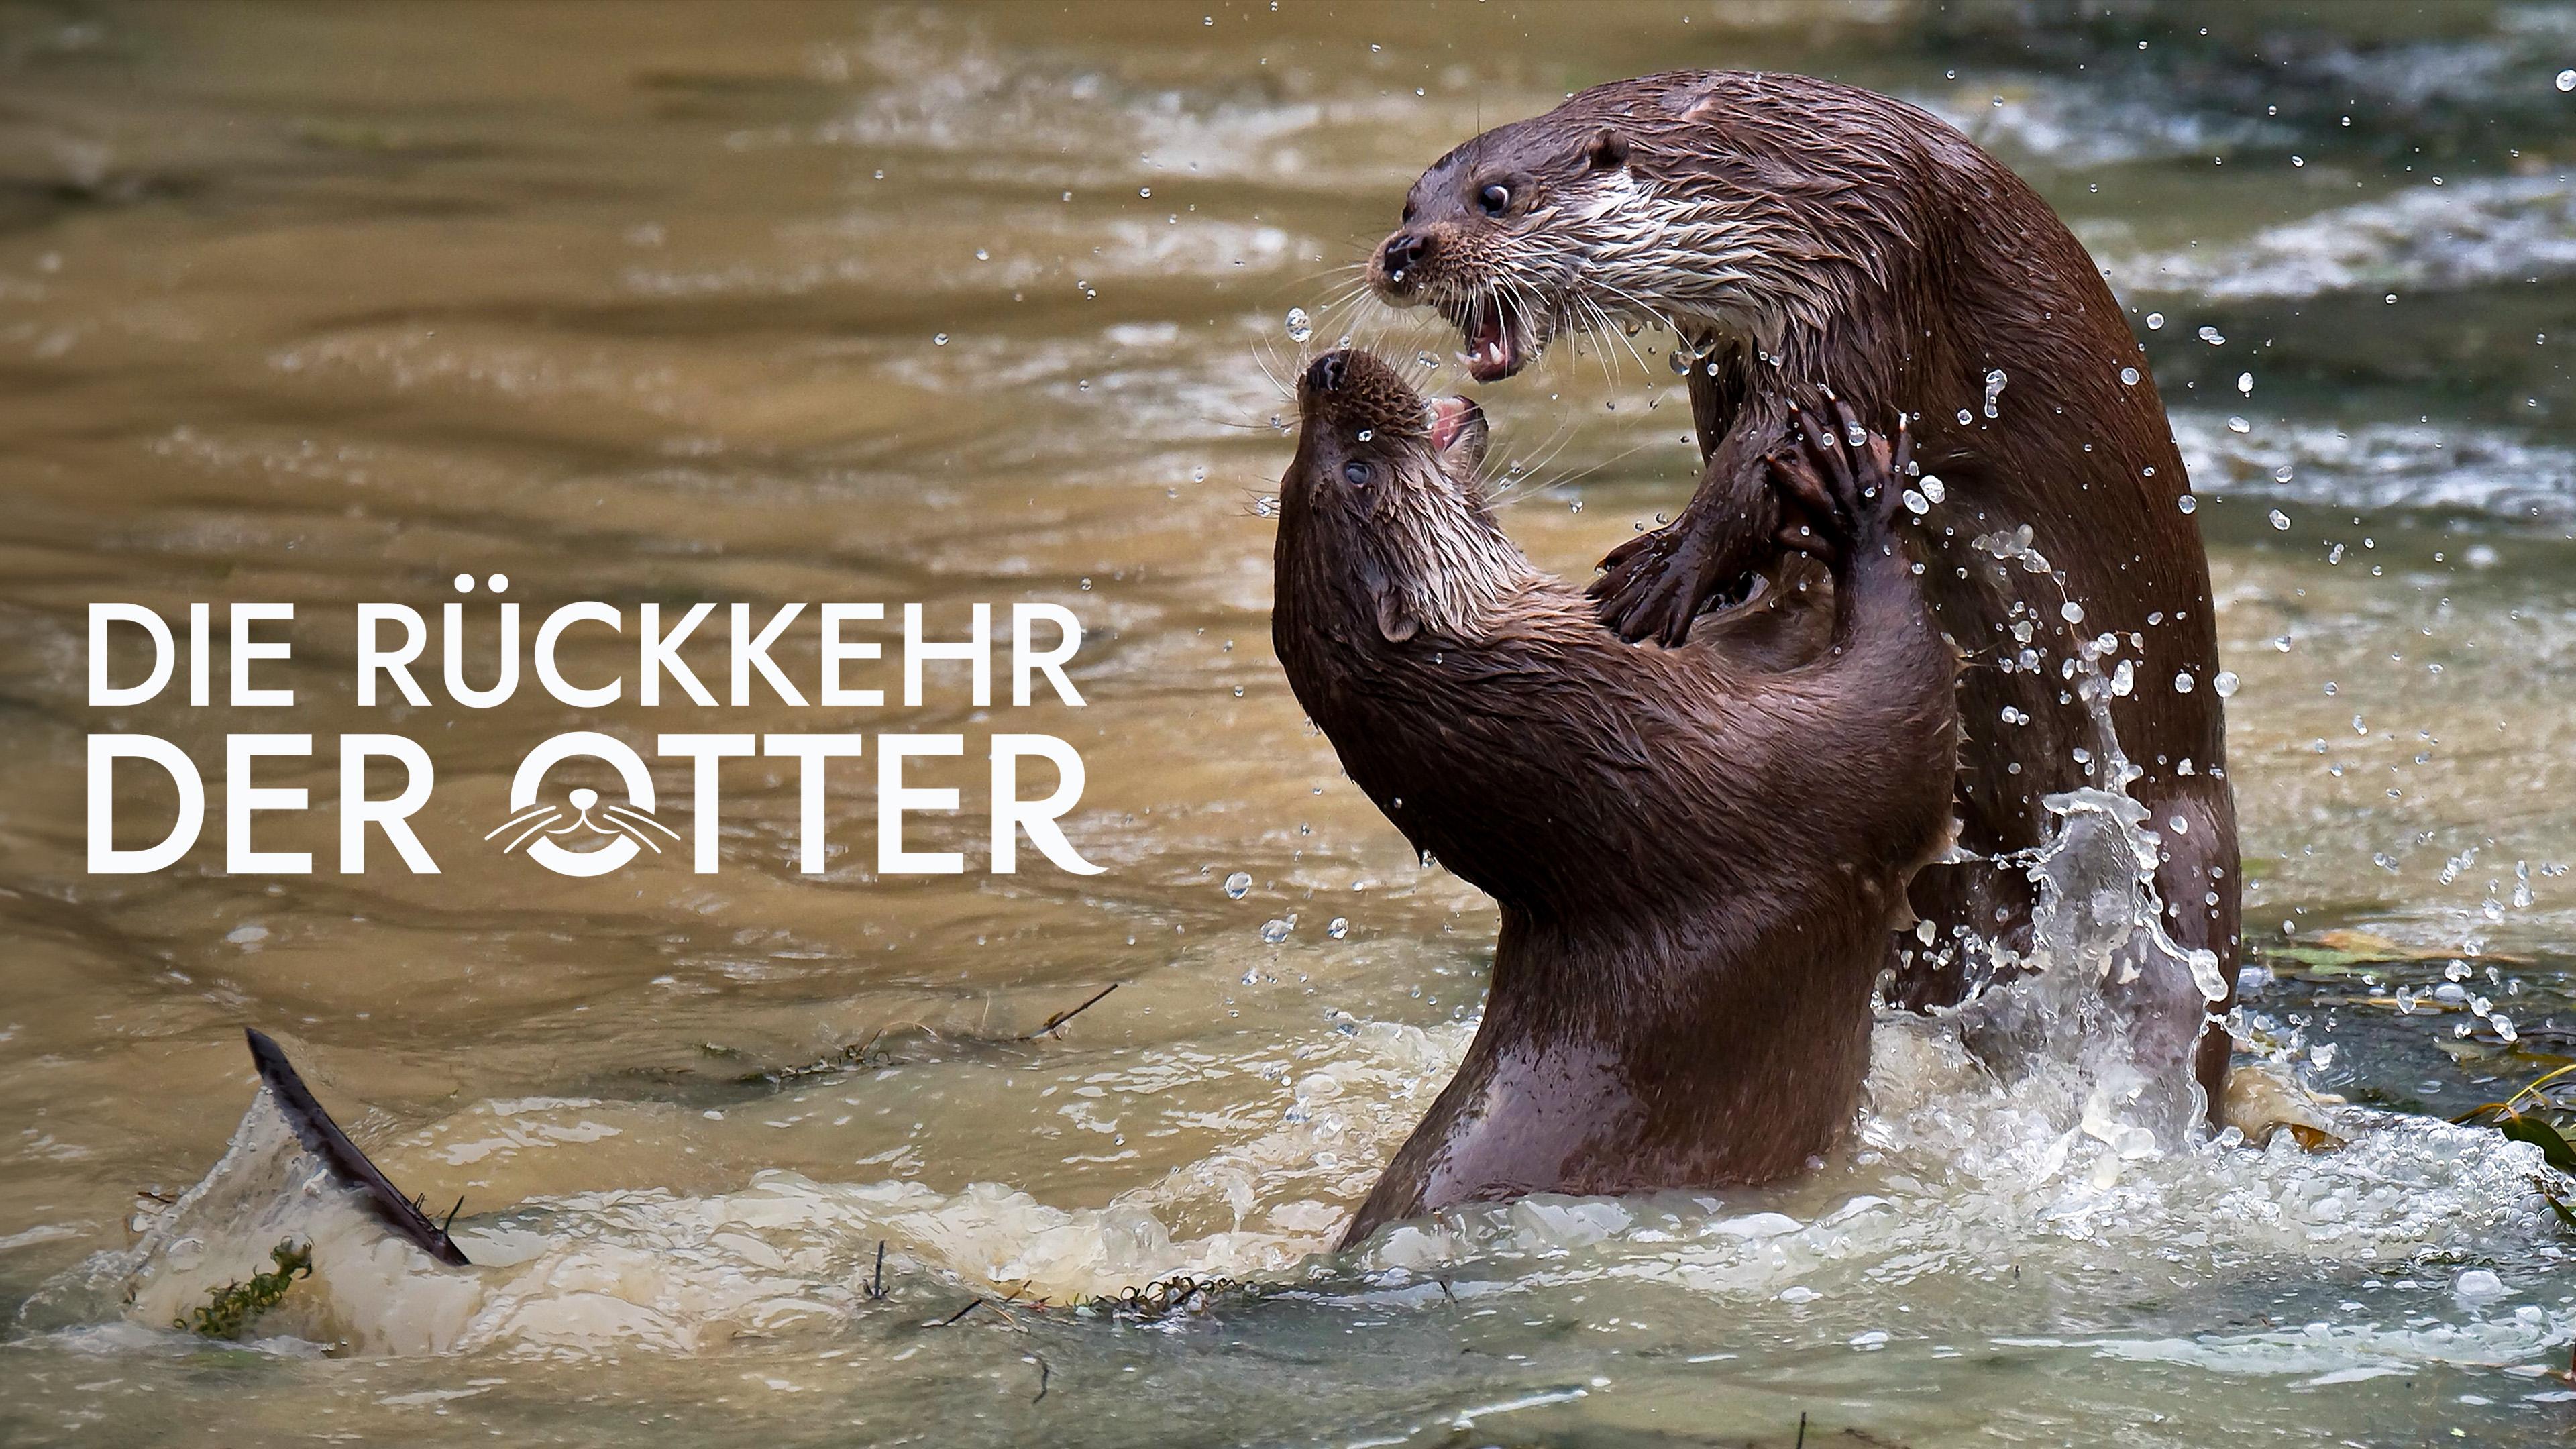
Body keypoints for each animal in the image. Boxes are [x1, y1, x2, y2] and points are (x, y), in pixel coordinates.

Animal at [1271, 349, 1956, 1247]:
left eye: (1292, 472)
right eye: (1354, 470)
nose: (1326, 366)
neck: (1620, 753)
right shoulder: (1783, 775)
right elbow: (1904, 707)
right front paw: (1856, 499)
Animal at [1367, 71, 2241, 1112]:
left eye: (1495, 197)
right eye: (1410, 203)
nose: (1403, 254)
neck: (1791, 186)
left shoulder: (1870, 275)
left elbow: (1770, 455)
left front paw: (1668, 573)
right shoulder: (1729, 342)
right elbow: (1739, 451)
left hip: (2182, 847)